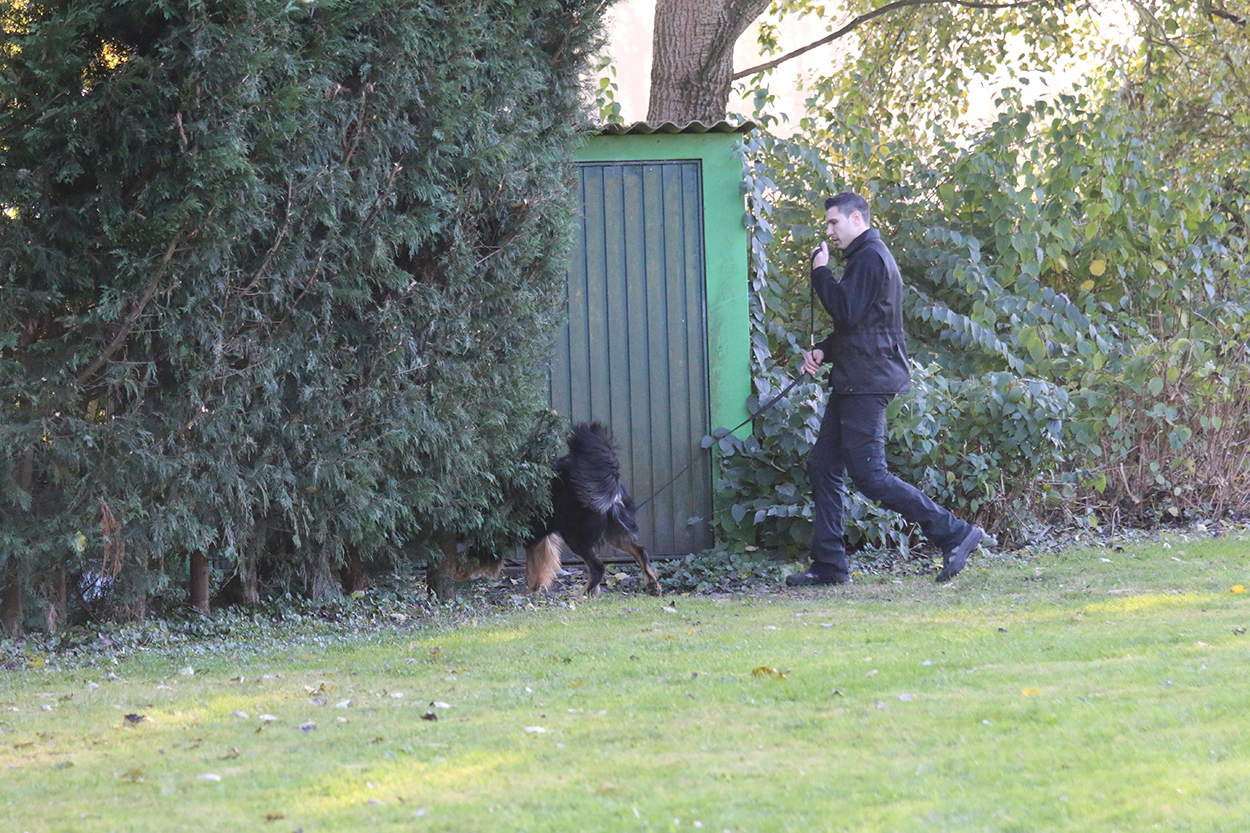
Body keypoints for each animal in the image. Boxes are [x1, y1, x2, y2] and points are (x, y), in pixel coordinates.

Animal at [462, 422, 662, 596]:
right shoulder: (537, 537)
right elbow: (537, 565)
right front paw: (534, 589)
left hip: (575, 534)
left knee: (597, 566)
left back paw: (582, 594)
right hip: (612, 530)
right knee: (639, 551)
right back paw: (651, 584)